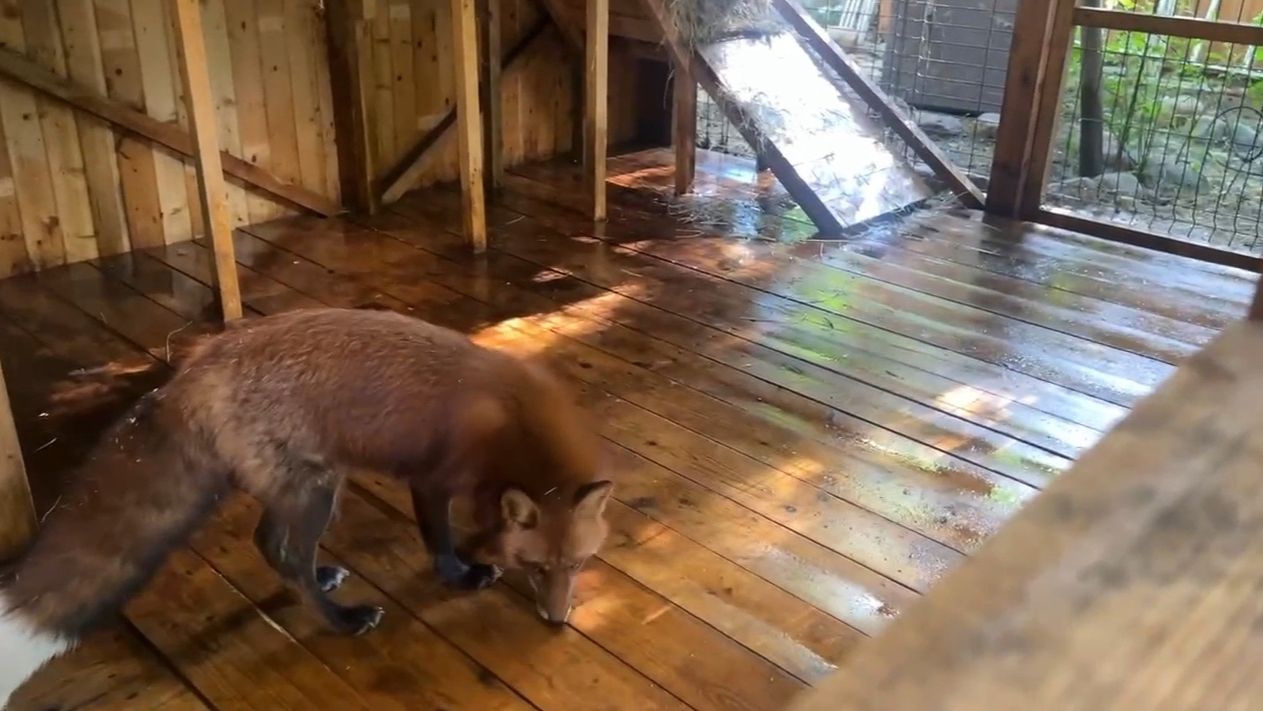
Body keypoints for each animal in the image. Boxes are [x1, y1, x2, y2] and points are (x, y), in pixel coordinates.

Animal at [0, 307, 613, 708]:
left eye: (577, 565)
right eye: (537, 567)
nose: (557, 622)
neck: (512, 423)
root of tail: (192, 371)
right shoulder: (431, 481)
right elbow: (439, 542)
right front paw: (461, 576)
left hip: (304, 489)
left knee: (270, 546)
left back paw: (323, 581)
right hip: (318, 492)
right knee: (290, 557)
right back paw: (341, 620)